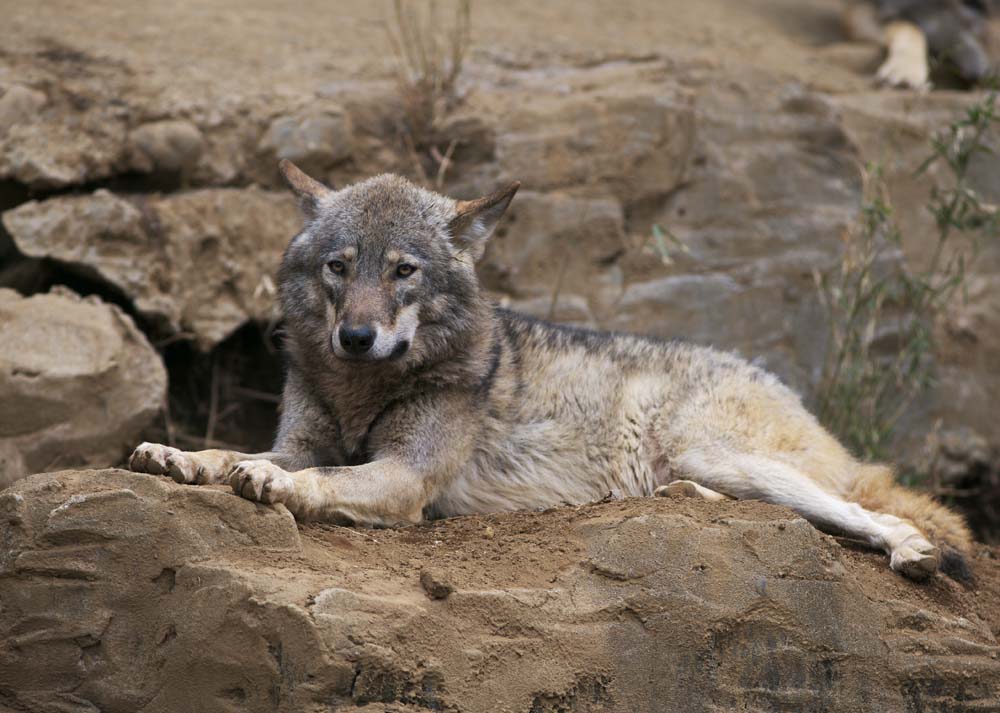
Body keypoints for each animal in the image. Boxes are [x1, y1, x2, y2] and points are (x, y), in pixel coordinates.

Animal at [129, 160, 972, 580]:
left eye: (403, 270)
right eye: (339, 266)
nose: (356, 336)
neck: (363, 388)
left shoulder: (404, 476)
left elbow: (315, 477)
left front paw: (269, 483)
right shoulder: (303, 437)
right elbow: (229, 451)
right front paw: (175, 455)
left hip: (717, 449)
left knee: (868, 510)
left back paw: (913, 553)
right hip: (710, 465)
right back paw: (684, 501)